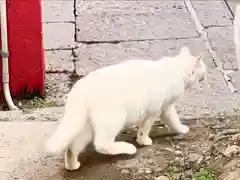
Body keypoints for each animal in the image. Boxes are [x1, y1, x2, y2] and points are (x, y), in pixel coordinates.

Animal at [44, 46, 206, 170]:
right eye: (204, 69)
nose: (206, 74)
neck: (177, 69)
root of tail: (79, 88)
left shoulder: (165, 107)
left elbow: (173, 120)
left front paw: (180, 129)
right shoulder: (156, 110)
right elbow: (148, 127)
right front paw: (144, 141)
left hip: (86, 126)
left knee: (72, 147)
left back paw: (73, 166)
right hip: (115, 118)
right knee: (101, 144)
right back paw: (128, 149)